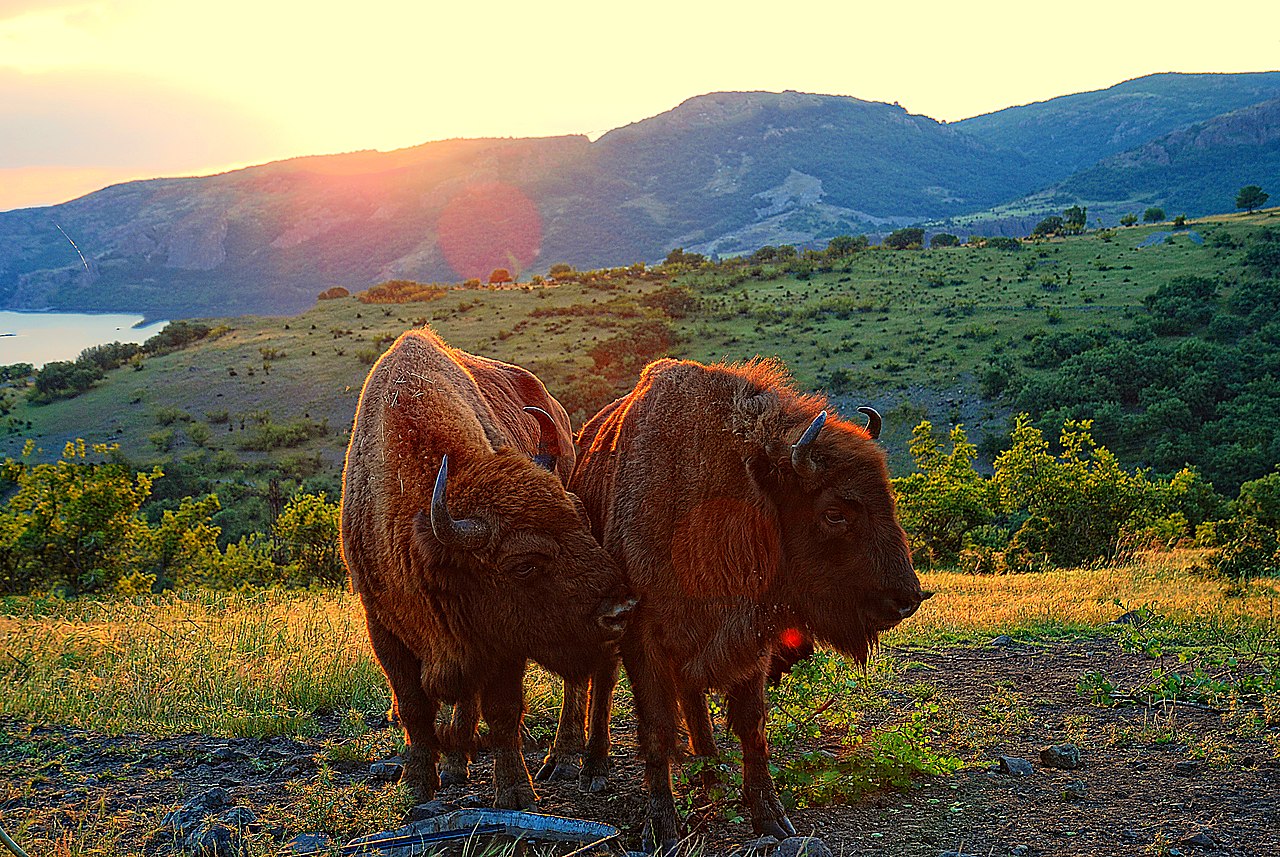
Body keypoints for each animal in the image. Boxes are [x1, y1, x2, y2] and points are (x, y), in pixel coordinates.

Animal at [343, 330, 632, 813]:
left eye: (581, 522)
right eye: (525, 564)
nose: (621, 611)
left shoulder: (504, 642)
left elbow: (502, 711)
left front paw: (515, 792)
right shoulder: (382, 624)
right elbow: (414, 706)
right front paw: (419, 782)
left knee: (582, 679)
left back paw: (563, 758)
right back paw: (458, 762)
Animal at [555, 358, 926, 854]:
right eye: (834, 513)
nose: (907, 599)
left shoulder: (749, 638)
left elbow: (751, 725)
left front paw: (771, 818)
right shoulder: (642, 635)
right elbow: (657, 729)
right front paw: (662, 826)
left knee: (691, 698)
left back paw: (709, 774)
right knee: (604, 680)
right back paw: (593, 767)